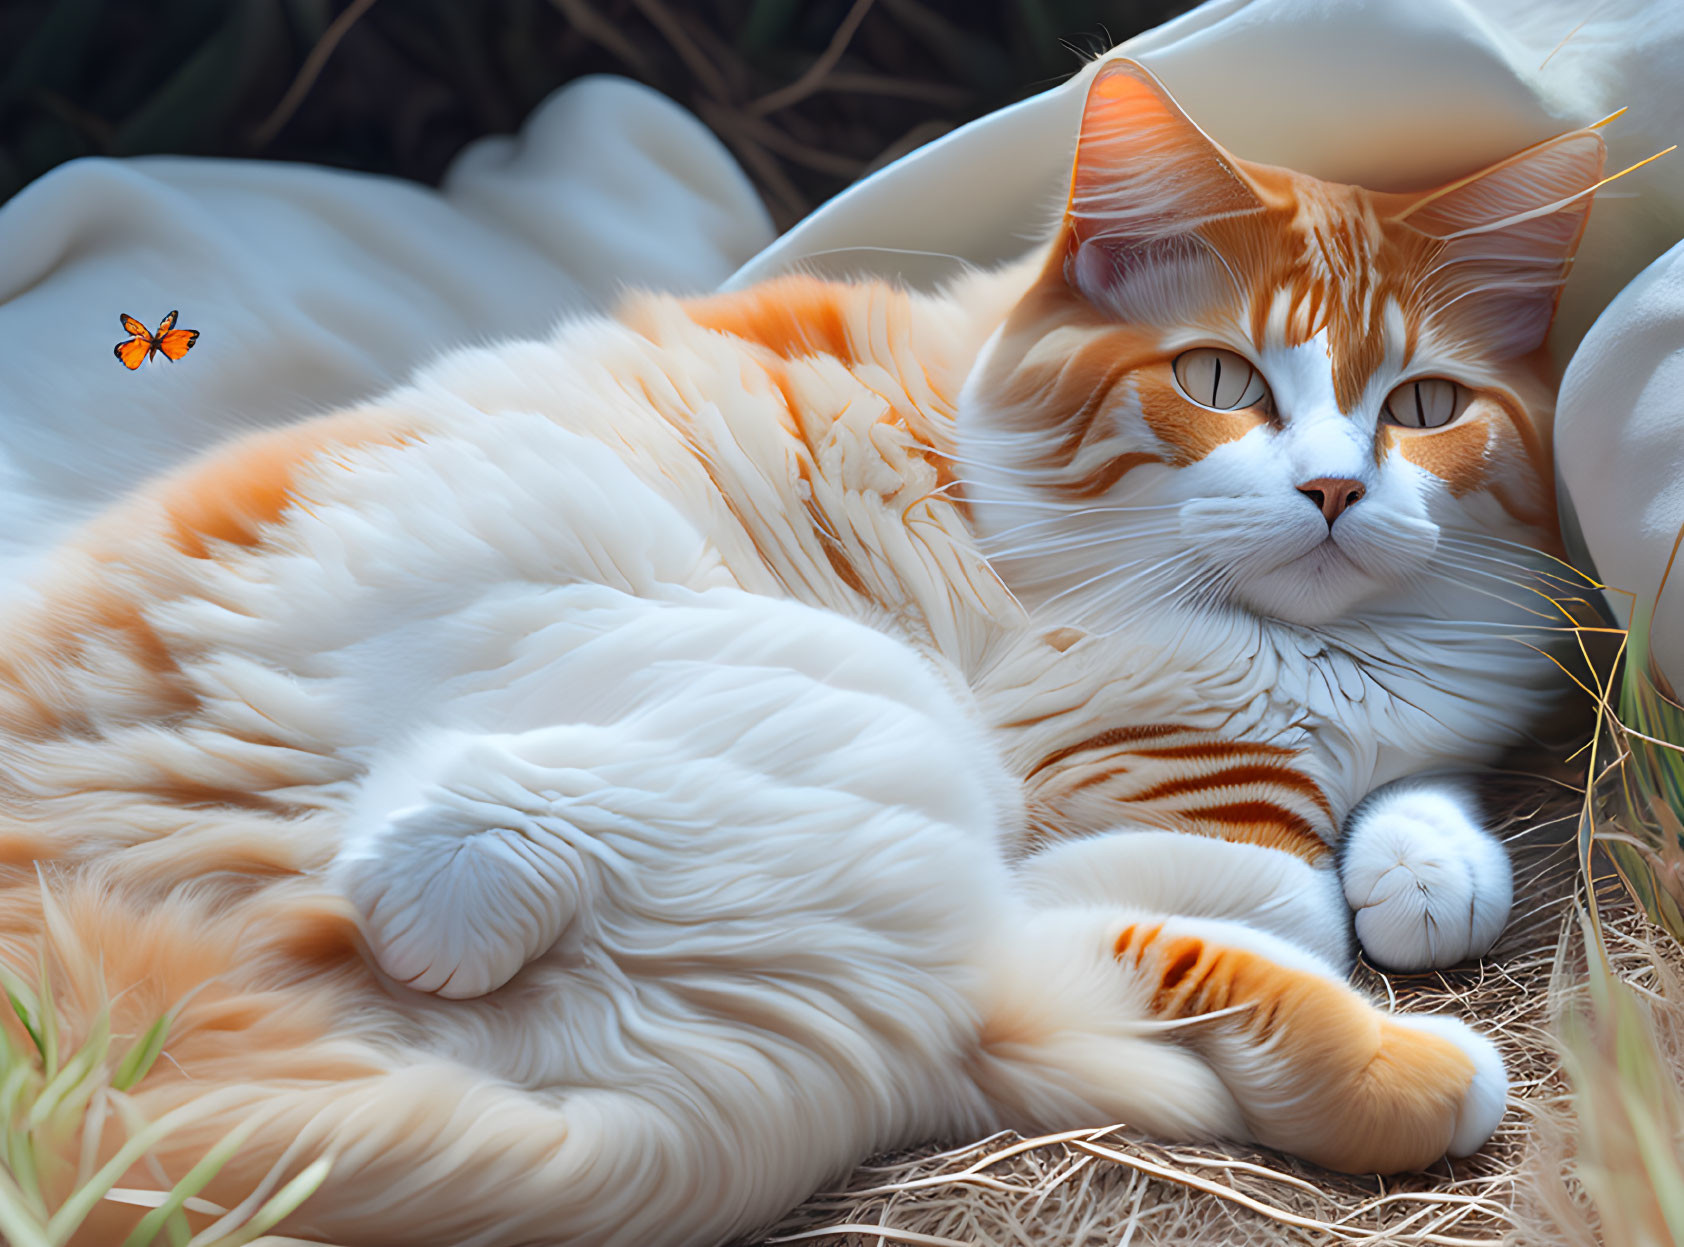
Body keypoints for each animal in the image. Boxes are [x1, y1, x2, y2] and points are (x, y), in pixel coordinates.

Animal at [0, 58, 1603, 1247]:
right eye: (1218, 379)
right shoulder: (1126, 756)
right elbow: (1289, 888)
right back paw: (446, 889)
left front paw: (1424, 868)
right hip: (795, 671)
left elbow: (1418, 832)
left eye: (1424, 405)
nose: (1332, 491)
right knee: (477, 839)